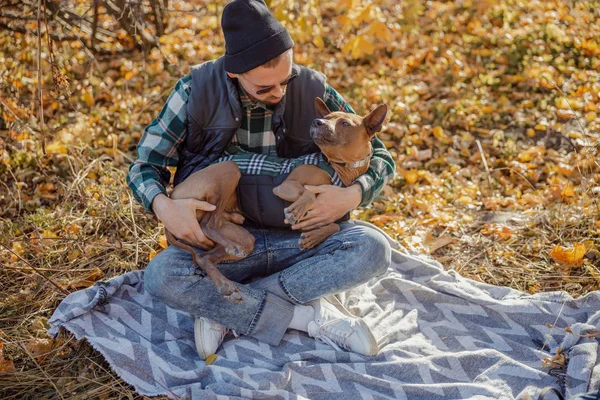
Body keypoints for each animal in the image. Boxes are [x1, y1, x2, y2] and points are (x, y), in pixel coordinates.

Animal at [168, 98, 390, 302]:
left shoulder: (335, 212)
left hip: (243, 238)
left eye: (344, 123)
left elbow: (333, 225)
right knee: (207, 224)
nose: (317, 121)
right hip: (229, 171)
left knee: (205, 255)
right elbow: (310, 193)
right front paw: (297, 211)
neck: (339, 169)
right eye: (326, 118)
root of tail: (174, 194)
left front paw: (312, 237)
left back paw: (225, 285)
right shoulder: (284, 187)